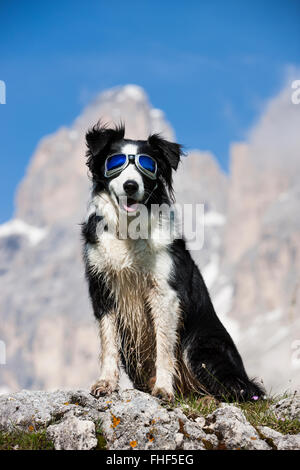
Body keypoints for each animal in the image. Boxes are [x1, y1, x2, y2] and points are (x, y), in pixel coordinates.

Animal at [81, 123, 264, 402]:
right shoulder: (102, 287)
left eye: (148, 164)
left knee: (241, 391)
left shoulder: (165, 292)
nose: (131, 185)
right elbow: (108, 341)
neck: (128, 231)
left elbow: (164, 346)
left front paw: (164, 388)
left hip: (201, 350)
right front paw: (105, 383)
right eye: (115, 162)